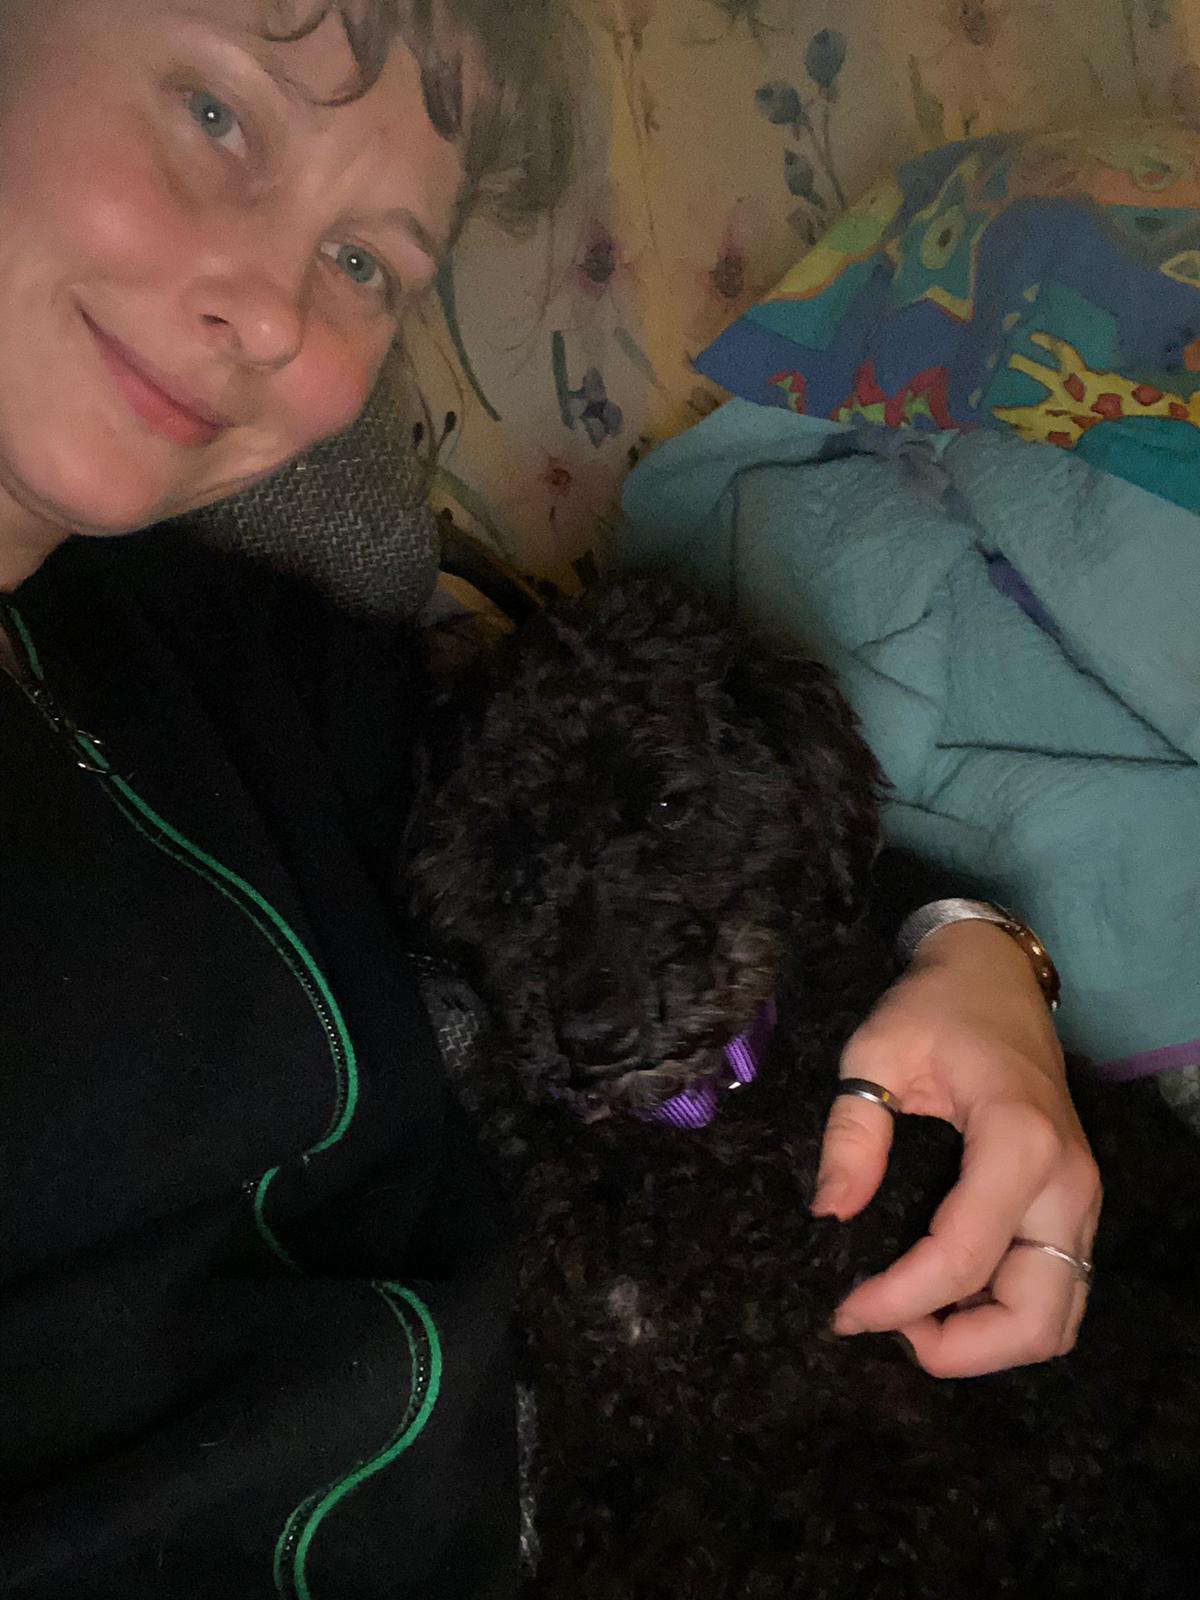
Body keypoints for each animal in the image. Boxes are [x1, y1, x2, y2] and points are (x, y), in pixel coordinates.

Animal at [407, 574, 1200, 1599]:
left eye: (668, 801)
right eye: (503, 850)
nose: (591, 1032)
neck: (684, 1140)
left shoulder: (862, 1435)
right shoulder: (604, 1426)